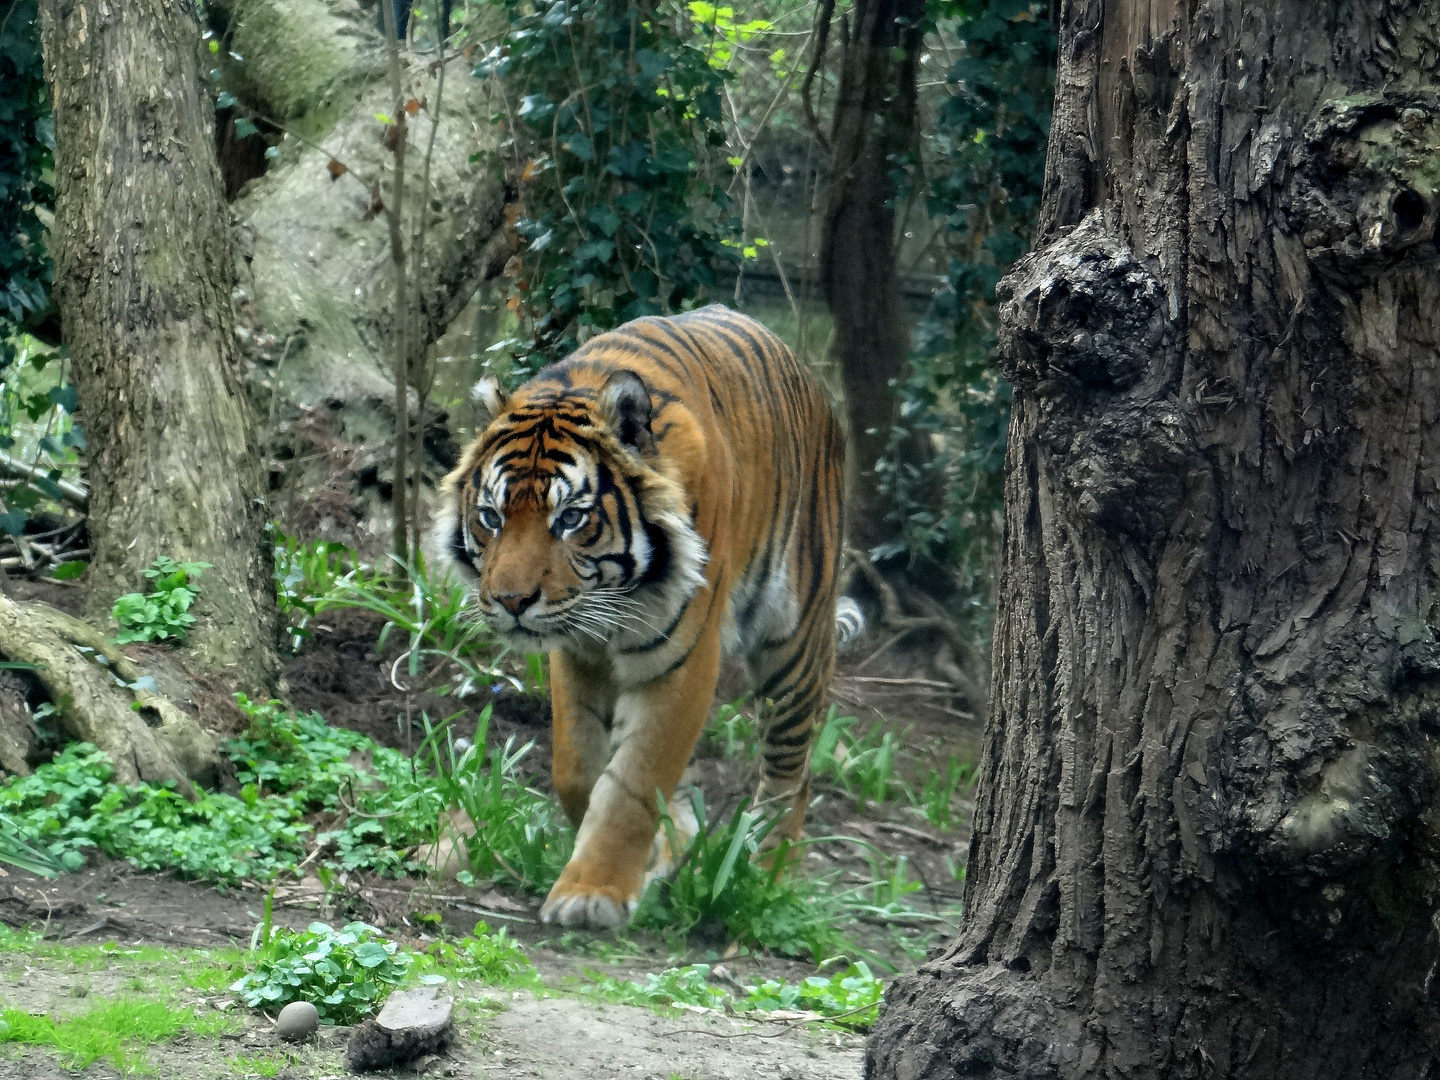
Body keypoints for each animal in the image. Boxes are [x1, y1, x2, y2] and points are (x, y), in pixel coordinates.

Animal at [432, 302, 858, 933]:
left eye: (571, 518)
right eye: (491, 516)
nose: (511, 601)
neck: (612, 597)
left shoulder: (680, 661)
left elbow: (634, 780)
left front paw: (593, 892)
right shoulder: (577, 653)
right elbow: (577, 767)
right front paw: (659, 850)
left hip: (795, 640)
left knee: (793, 769)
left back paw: (766, 875)